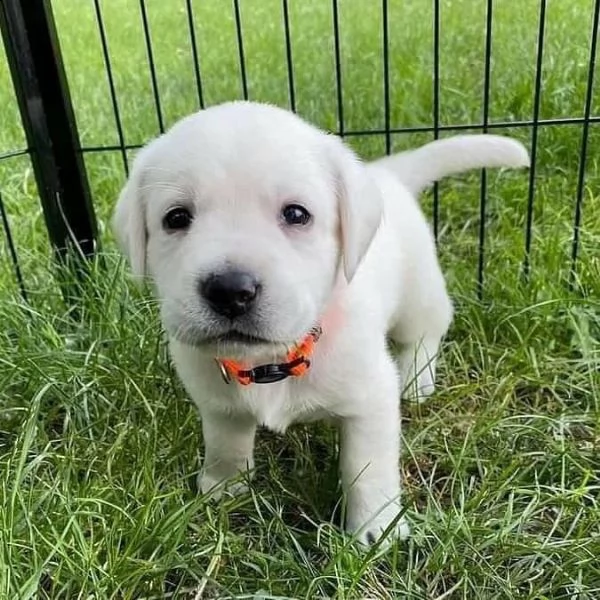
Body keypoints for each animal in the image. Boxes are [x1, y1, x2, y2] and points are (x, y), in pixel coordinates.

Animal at [113, 101, 528, 548]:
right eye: (176, 218)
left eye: (297, 214)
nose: (230, 290)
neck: (273, 360)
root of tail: (388, 174)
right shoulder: (217, 401)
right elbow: (225, 442)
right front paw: (222, 488)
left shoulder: (371, 400)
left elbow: (367, 468)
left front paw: (376, 529)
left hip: (419, 293)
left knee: (424, 334)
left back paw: (417, 381)